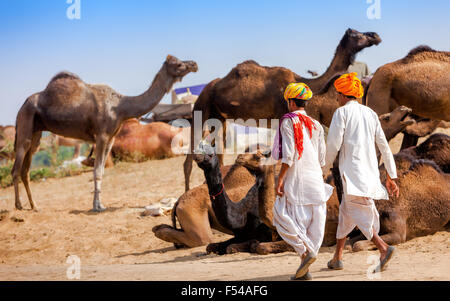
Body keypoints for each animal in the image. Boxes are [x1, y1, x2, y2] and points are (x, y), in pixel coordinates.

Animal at [12, 55, 198, 210]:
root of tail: (23, 105)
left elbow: (100, 171)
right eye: (179, 64)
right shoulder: (101, 136)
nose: (194, 64)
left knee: (25, 170)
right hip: (25, 123)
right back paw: (19, 206)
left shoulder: (110, 138)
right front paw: (97, 206)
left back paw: (34, 206)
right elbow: (96, 171)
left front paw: (100, 203)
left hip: (36, 132)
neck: (121, 107)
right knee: (17, 166)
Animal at [184, 29, 384, 190]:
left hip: (219, 118)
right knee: (189, 159)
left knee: (219, 151)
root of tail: (206, 89)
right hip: (201, 110)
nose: (375, 35)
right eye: (357, 34)